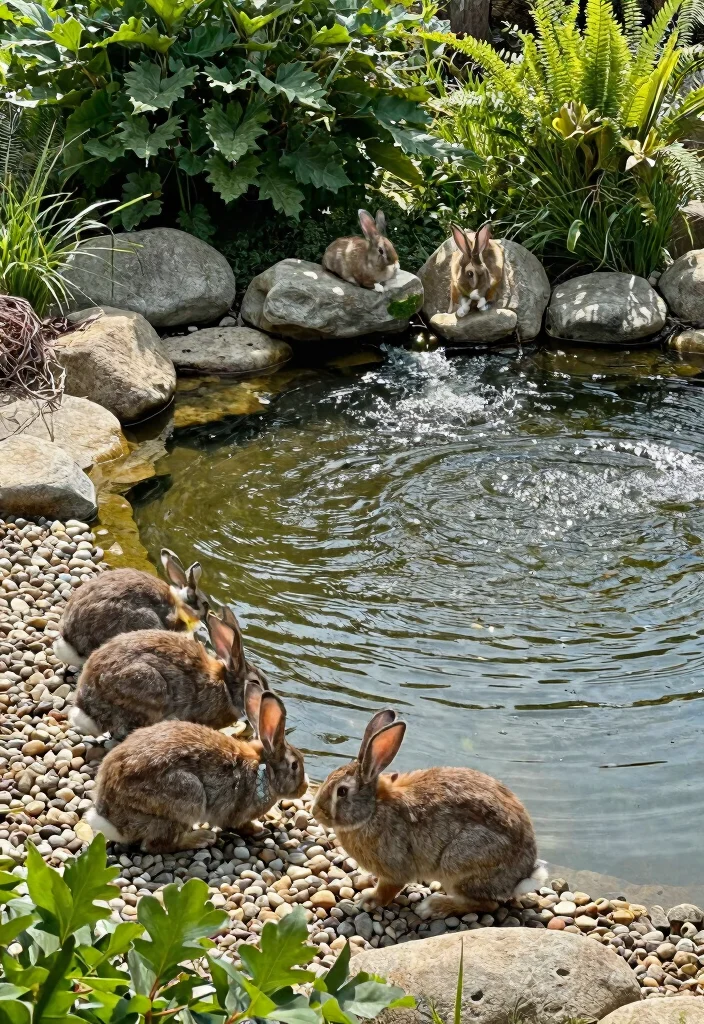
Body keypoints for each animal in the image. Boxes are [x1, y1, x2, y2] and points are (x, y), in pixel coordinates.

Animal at [85, 681, 306, 853]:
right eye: (295, 765)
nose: (303, 789)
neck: (264, 771)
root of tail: (110, 819)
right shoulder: (238, 813)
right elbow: (240, 826)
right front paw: (260, 830)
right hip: (187, 796)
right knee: (157, 845)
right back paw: (201, 838)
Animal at [312, 709, 547, 919]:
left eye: (342, 792)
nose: (316, 812)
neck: (372, 809)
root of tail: (520, 877)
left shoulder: (394, 868)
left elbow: (388, 889)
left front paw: (368, 901)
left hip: (460, 863)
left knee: (485, 904)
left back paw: (433, 907)